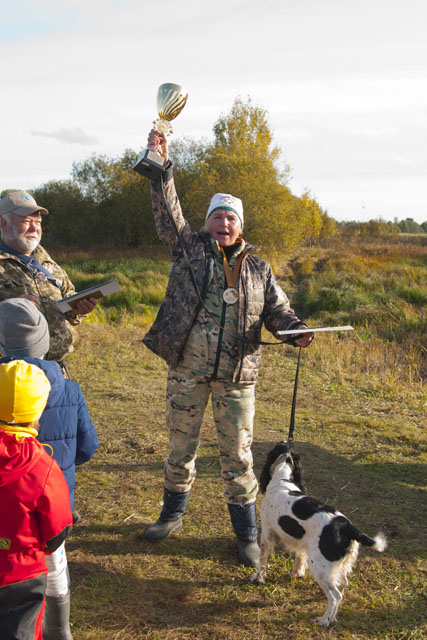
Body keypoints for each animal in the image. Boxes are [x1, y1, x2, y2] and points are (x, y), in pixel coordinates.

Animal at [250, 441, 387, 626]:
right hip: (339, 564)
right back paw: (331, 615)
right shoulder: (303, 542)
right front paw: (296, 574)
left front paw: (258, 578)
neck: (283, 479)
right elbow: (300, 558)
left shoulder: (267, 531)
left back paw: (324, 620)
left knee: (336, 596)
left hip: (319, 567)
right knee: (341, 585)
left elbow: (262, 559)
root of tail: (347, 527)